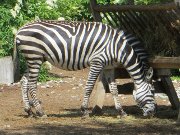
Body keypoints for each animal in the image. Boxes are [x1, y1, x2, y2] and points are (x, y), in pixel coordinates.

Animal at [14, 20, 157, 118]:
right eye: (153, 91)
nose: (152, 113)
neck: (117, 48)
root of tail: (20, 30)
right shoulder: (97, 62)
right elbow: (89, 86)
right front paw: (84, 110)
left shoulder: (109, 67)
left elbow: (114, 90)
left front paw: (121, 111)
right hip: (35, 57)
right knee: (32, 84)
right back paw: (40, 112)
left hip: (33, 59)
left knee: (24, 81)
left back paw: (29, 111)